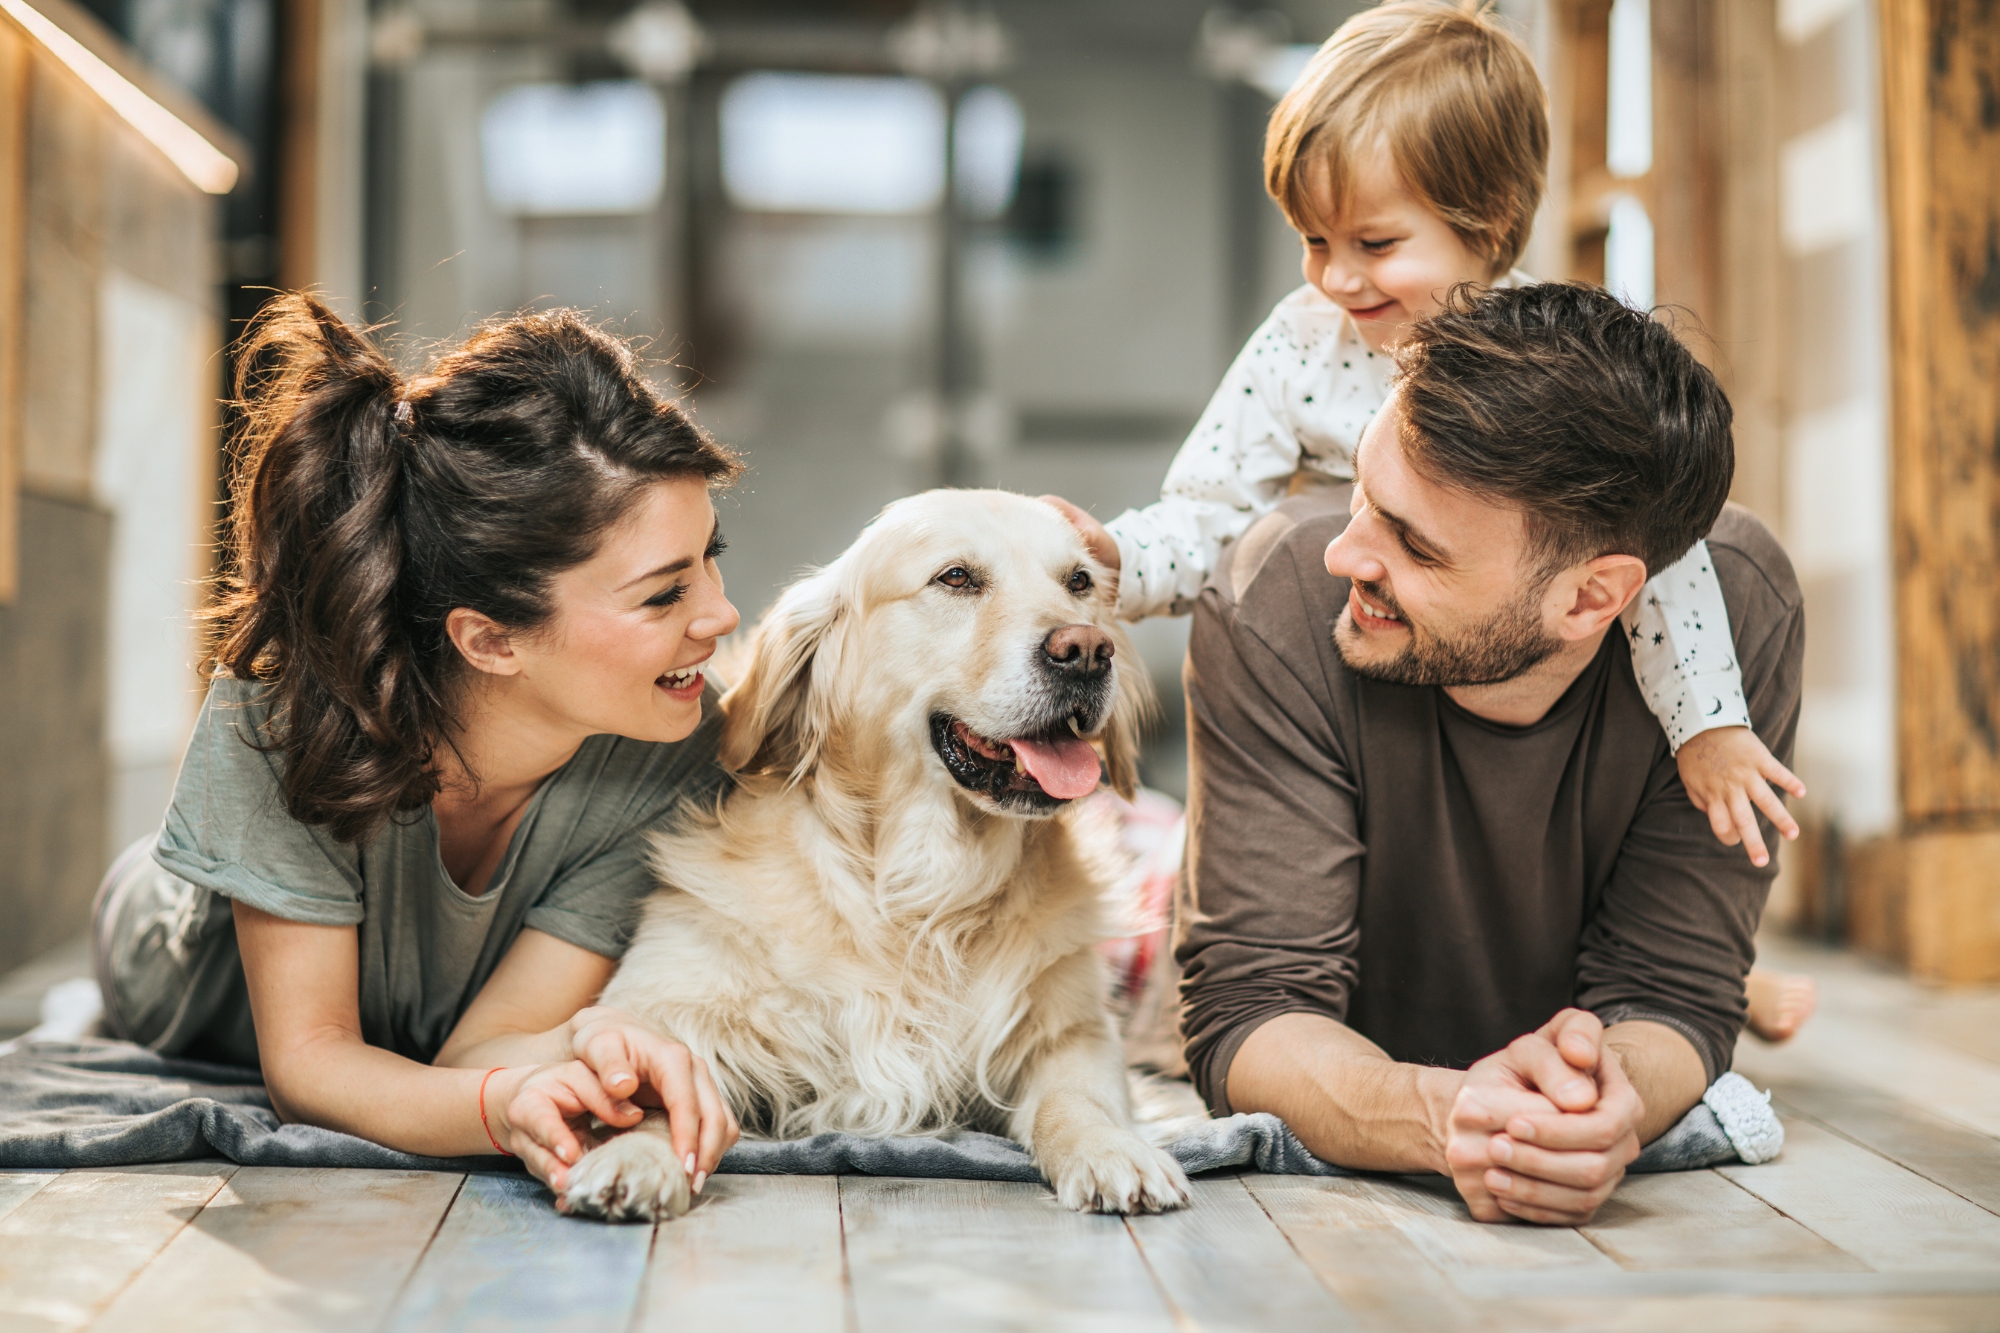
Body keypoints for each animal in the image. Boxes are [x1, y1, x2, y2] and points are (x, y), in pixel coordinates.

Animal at [556, 486, 1184, 1216]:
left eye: (1080, 582)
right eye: (956, 577)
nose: (1086, 650)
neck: (920, 889)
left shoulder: (1074, 1029)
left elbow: (1078, 1097)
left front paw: (1111, 1148)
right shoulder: (665, 999)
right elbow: (654, 1084)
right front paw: (634, 1153)